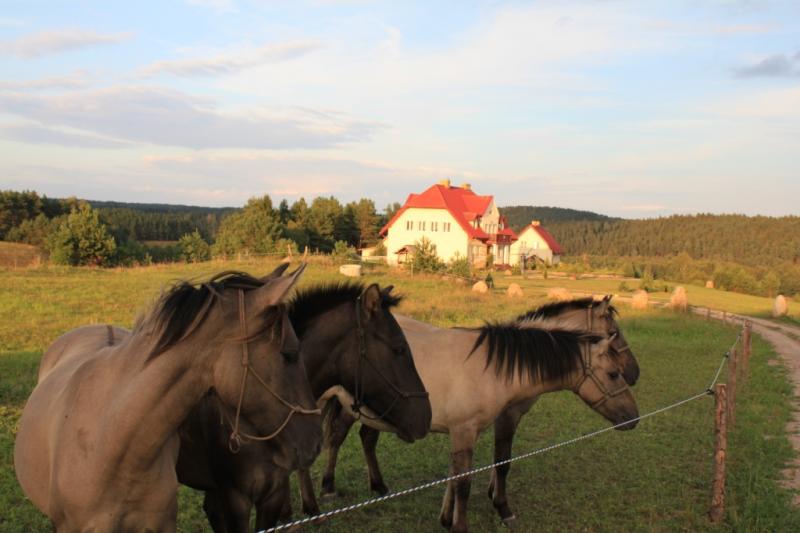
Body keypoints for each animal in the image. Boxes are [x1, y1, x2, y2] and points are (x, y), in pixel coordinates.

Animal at [314, 300, 636, 528]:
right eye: (612, 374)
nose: (633, 416)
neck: (493, 369)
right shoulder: (476, 427)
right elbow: (476, 477)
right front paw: (487, 513)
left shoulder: (467, 431)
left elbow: (459, 473)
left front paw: (447, 518)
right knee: (333, 438)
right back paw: (326, 491)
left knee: (364, 437)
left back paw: (378, 487)